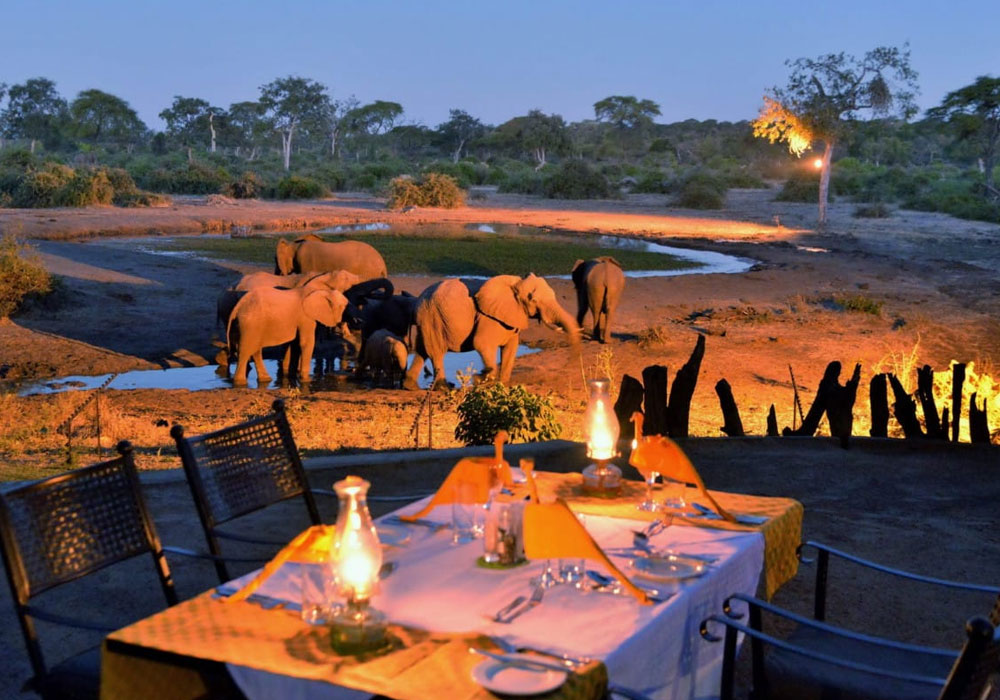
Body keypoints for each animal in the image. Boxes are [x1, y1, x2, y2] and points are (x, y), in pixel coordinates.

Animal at [403, 273, 580, 391]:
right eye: (533, 300)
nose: (569, 365)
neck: (516, 284)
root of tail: (417, 302)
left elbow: (511, 347)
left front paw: (502, 383)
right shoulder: (487, 317)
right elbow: (482, 343)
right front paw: (482, 379)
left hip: (428, 319)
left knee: (422, 350)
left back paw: (410, 386)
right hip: (432, 317)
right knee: (436, 352)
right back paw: (445, 388)